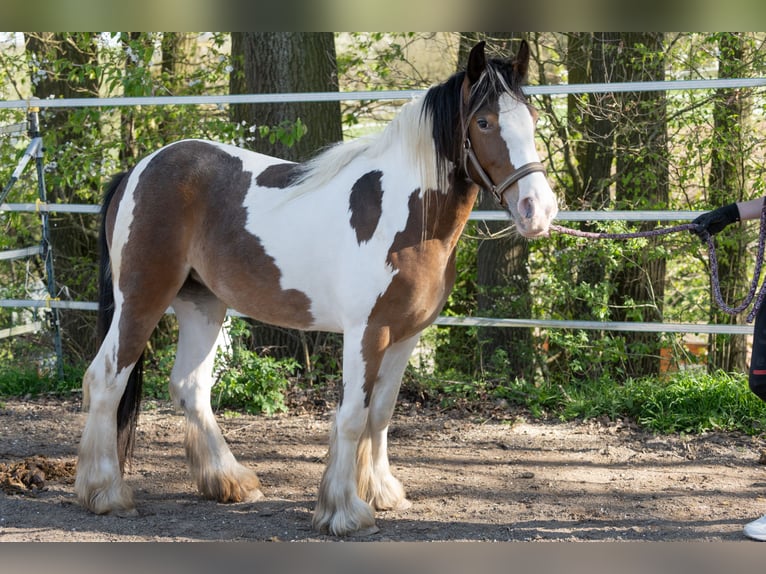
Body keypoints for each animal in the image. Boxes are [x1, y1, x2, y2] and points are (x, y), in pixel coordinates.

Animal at [76, 41, 560, 540]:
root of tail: (138, 170)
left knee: (190, 388)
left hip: (202, 304)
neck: (405, 217)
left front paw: (382, 492)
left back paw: (229, 480)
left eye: (532, 118)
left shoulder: (406, 336)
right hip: (142, 298)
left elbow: (381, 413)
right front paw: (344, 511)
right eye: (484, 122)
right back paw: (106, 493)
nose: (537, 209)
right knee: (106, 379)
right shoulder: (367, 333)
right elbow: (352, 416)